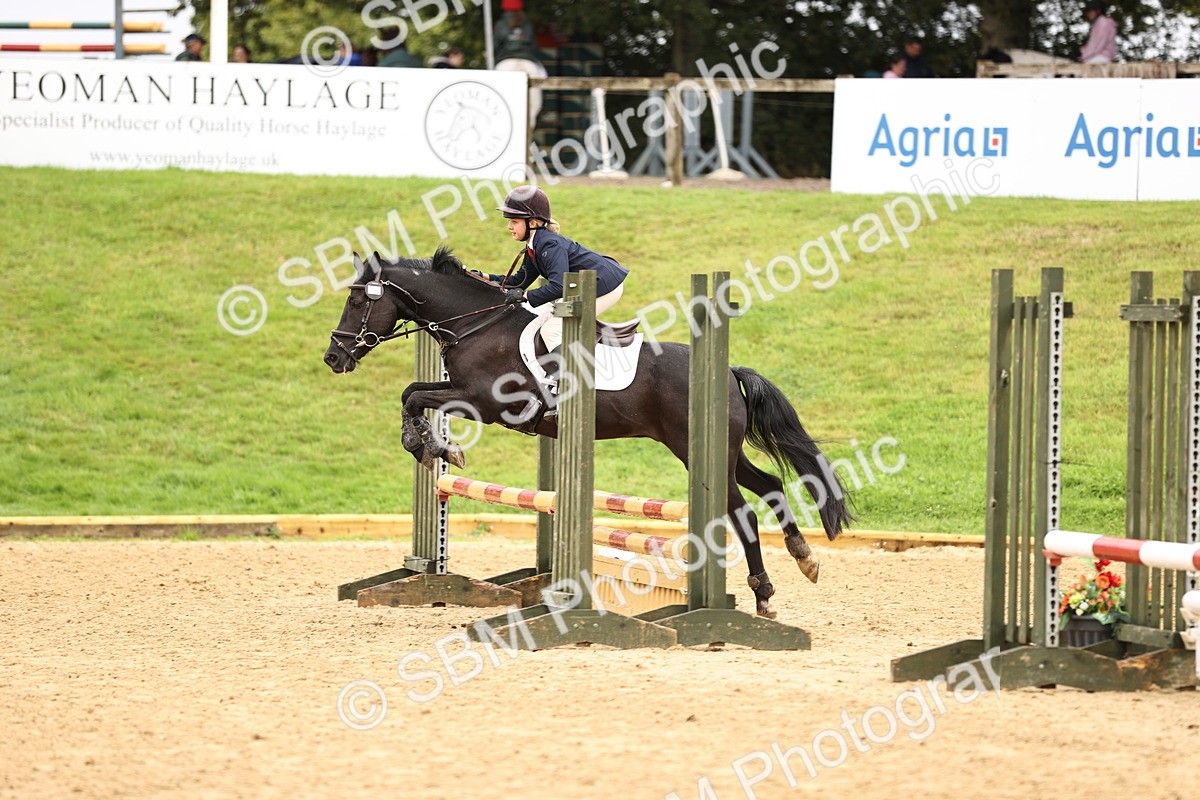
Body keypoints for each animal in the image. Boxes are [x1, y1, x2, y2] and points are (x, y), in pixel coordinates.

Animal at [322, 247, 853, 617]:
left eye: (356, 299)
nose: (333, 357)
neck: (477, 325)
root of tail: (728, 371)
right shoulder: (465, 394)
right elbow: (412, 391)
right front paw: (435, 447)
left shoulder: (485, 403)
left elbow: (414, 396)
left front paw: (430, 446)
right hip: (723, 451)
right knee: (770, 485)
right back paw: (801, 561)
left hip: (698, 451)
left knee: (742, 511)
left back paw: (764, 593)